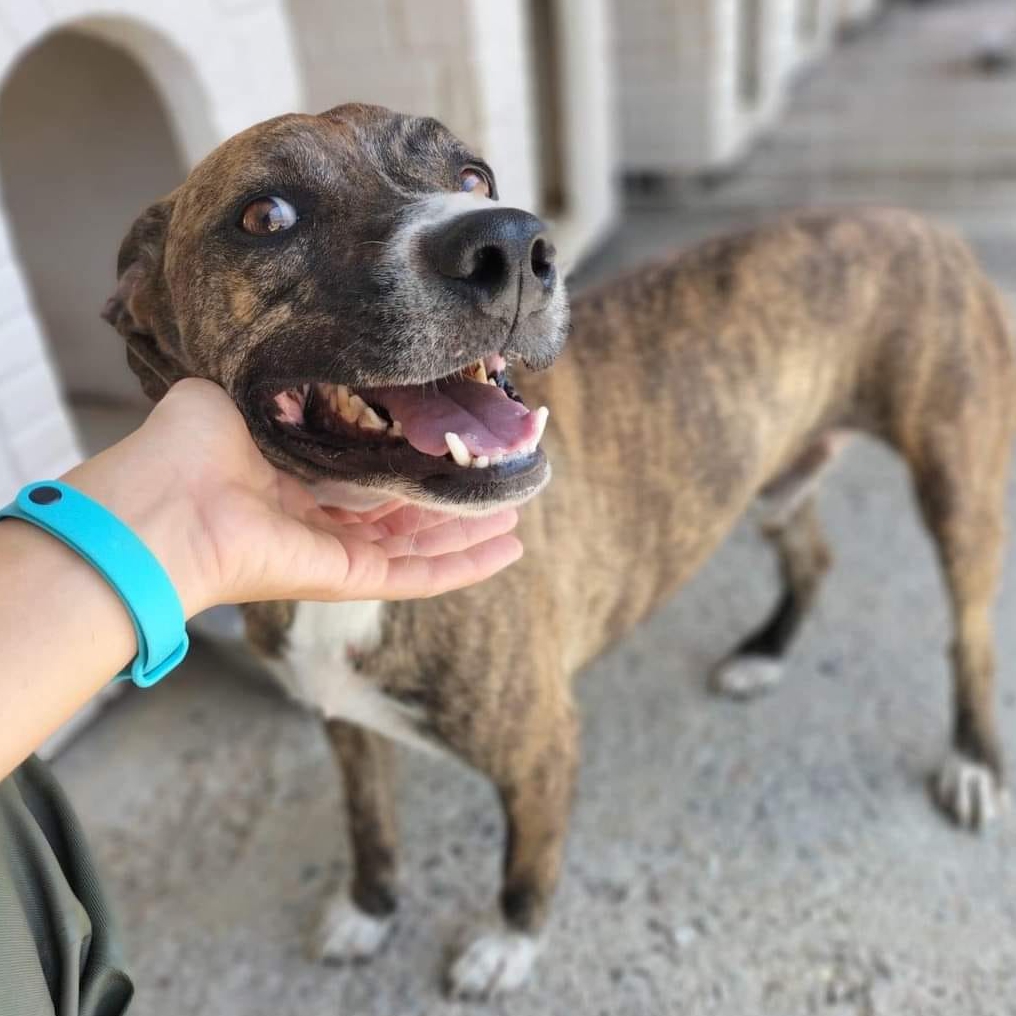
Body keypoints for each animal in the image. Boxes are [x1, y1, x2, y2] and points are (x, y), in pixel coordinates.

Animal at [103, 103, 1015, 998]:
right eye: (266, 216)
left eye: (474, 176)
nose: (513, 245)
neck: (358, 526)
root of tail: (922, 224)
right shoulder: (345, 723)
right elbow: (368, 824)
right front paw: (369, 908)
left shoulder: (541, 746)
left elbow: (524, 863)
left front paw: (508, 946)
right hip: (779, 475)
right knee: (813, 559)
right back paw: (765, 651)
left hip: (957, 482)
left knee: (969, 632)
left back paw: (971, 759)